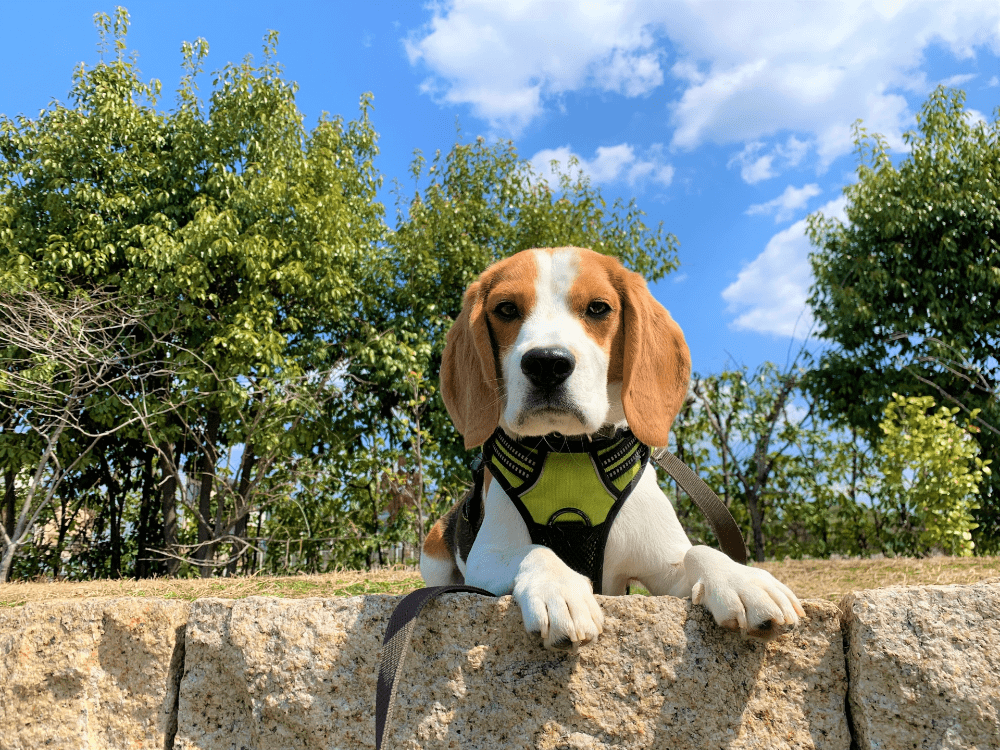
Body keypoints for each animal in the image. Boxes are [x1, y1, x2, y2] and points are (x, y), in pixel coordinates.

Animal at [422, 248, 804, 652]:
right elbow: (536, 550)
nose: (547, 362)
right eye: (507, 309)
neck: (570, 451)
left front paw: (742, 580)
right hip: (433, 551)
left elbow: (698, 551)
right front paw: (560, 589)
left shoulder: (664, 569)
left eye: (598, 308)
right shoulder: (487, 558)